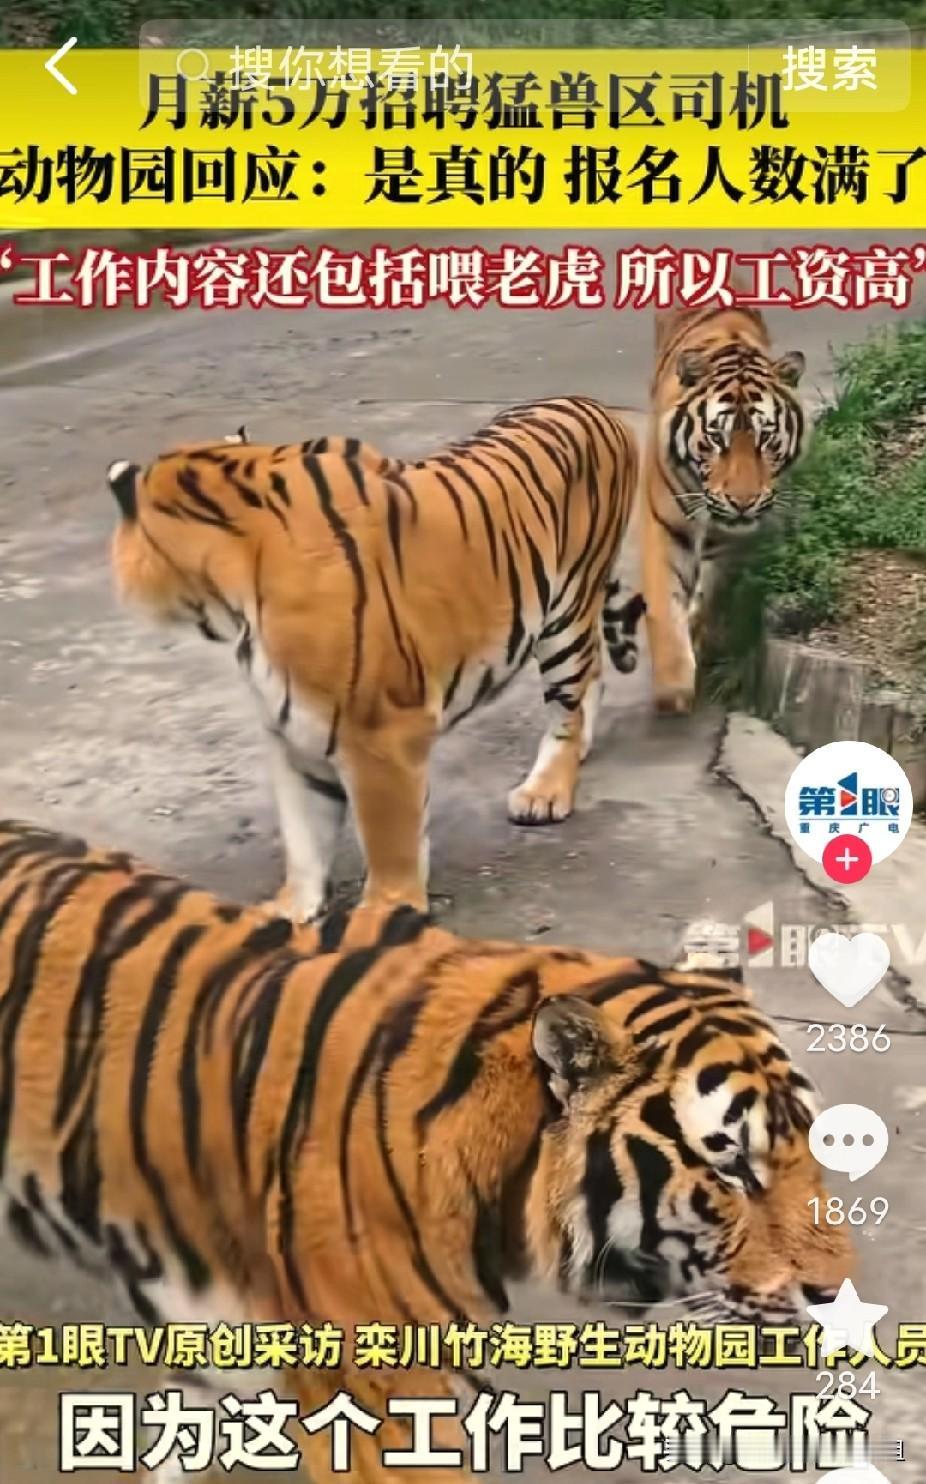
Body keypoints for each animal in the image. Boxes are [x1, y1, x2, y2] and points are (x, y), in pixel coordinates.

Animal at [106, 397, 640, 924]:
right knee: (592, 674)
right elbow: (303, 836)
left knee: (567, 701)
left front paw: (384, 912)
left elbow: (389, 838)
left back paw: (545, 791)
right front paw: (290, 908)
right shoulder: (292, 732)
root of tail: (595, 406)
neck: (235, 604)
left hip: (566, 610)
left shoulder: (382, 733)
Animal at [637, 293, 808, 713]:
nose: (743, 502)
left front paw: (699, 637)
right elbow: (664, 603)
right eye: (717, 438)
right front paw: (673, 686)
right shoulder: (663, 524)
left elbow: (708, 596)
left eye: (767, 439)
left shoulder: (729, 540)